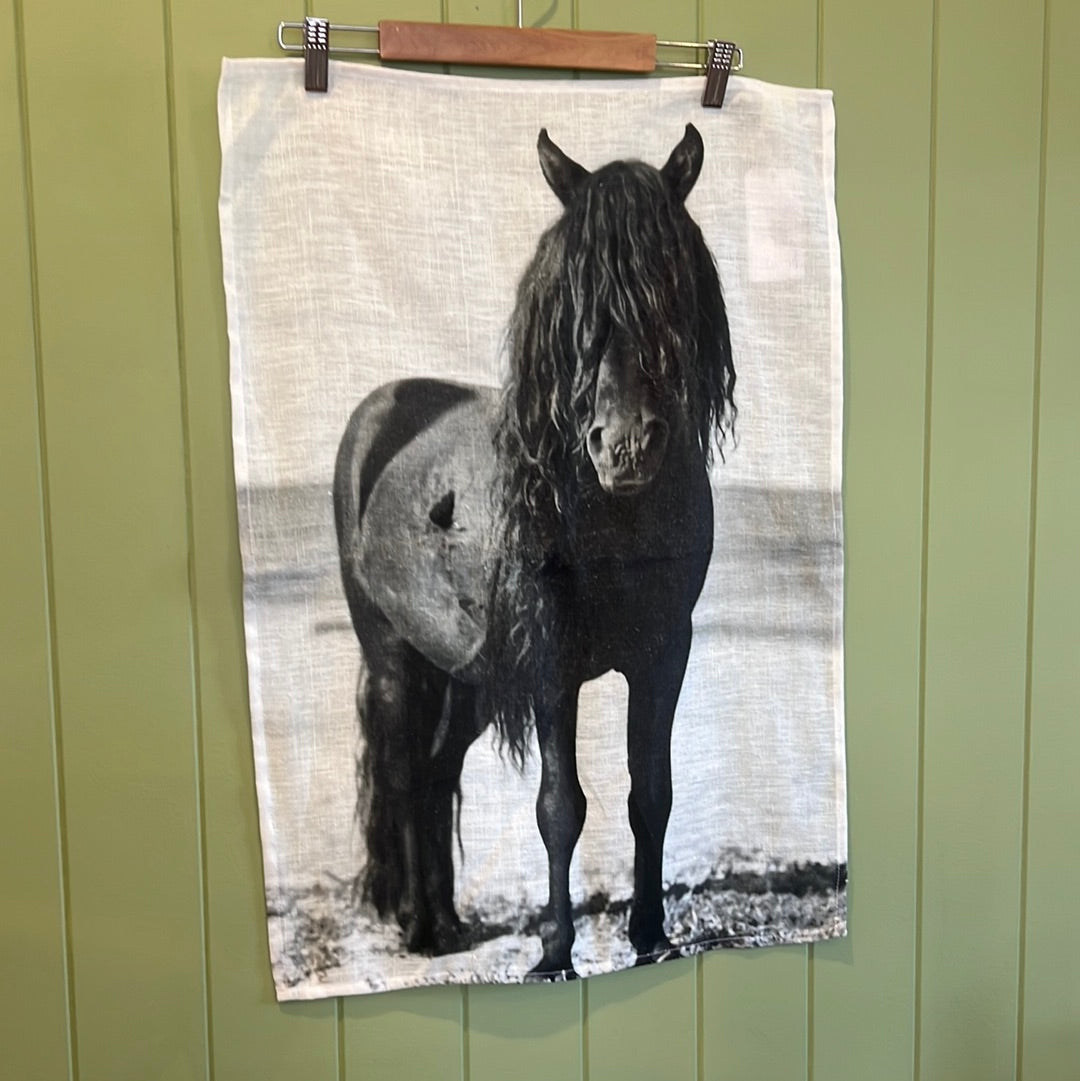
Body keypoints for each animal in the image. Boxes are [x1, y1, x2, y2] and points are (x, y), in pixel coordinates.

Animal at [333, 122, 736, 979]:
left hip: (469, 675)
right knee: (405, 767)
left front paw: (651, 937)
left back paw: (448, 920)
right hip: (393, 657)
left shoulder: (665, 651)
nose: (626, 447)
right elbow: (561, 806)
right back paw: (418, 926)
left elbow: (651, 793)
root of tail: (386, 410)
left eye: (673, 289)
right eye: (574, 308)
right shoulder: (553, 664)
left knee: (437, 769)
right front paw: (554, 953)